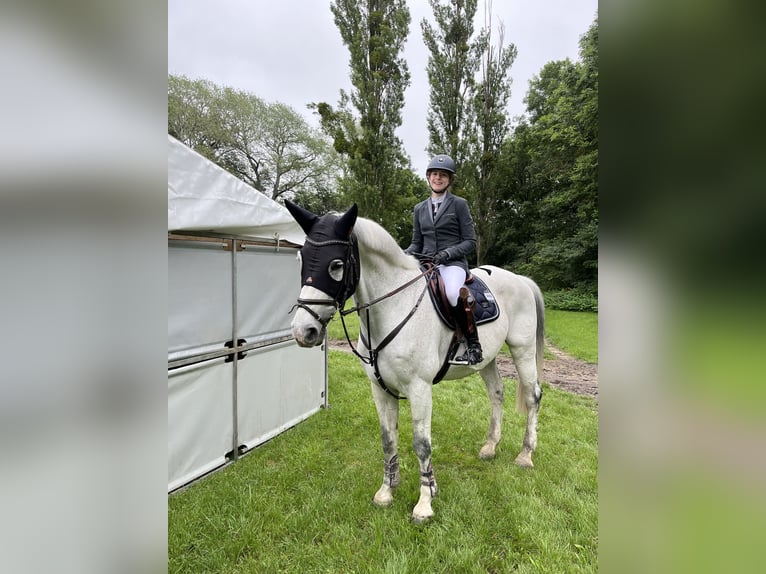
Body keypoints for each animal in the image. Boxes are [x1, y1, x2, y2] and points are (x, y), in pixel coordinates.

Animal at [284, 204, 544, 528]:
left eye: (335, 265)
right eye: (303, 260)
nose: (303, 331)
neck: (392, 307)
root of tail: (521, 279)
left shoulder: (419, 389)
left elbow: (422, 444)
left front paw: (424, 503)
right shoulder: (380, 389)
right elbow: (387, 439)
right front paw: (387, 491)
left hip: (522, 350)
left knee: (533, 396)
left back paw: (525, 455)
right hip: (488, 358)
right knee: (497, 394)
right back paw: (490, 447)